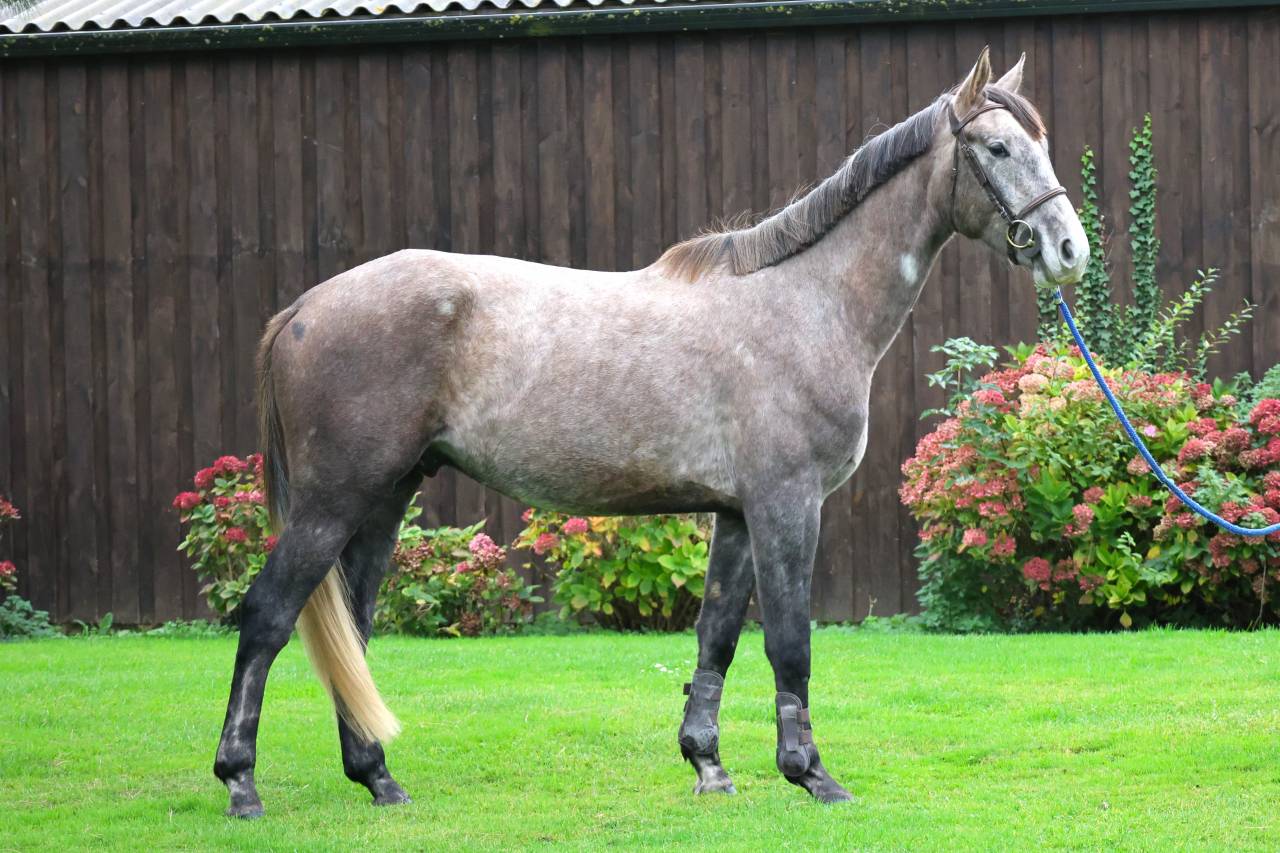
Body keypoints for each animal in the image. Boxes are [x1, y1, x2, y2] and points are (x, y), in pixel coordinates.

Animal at [212, 46, 1088, 817]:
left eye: (1041, 143)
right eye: (998, 148)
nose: (1069, 249)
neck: (806, 303)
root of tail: (303, 308)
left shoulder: (736, 513)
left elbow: (717, 636)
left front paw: (709, 765)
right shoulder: (787, 505)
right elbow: (790, 641)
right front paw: (812, 774)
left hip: (384, 498)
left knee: (351, 631)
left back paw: (379, 778)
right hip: (333, 502)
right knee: (266, 615)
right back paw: (241, 783)